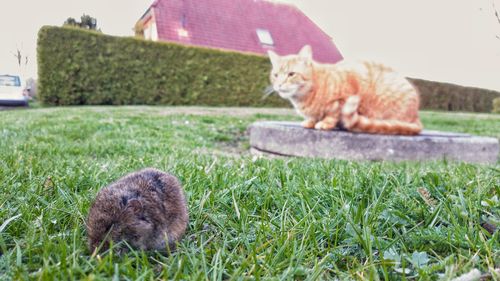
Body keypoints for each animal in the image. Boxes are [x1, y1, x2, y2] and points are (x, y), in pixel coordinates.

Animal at [270, 44, 422, 135]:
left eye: (291, 74)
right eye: (275, 75)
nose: (279, 85)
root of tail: (416, 116)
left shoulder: (344, 97)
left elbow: (333, 114)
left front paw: (325, 123)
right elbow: (314, 118)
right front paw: (311, 122)